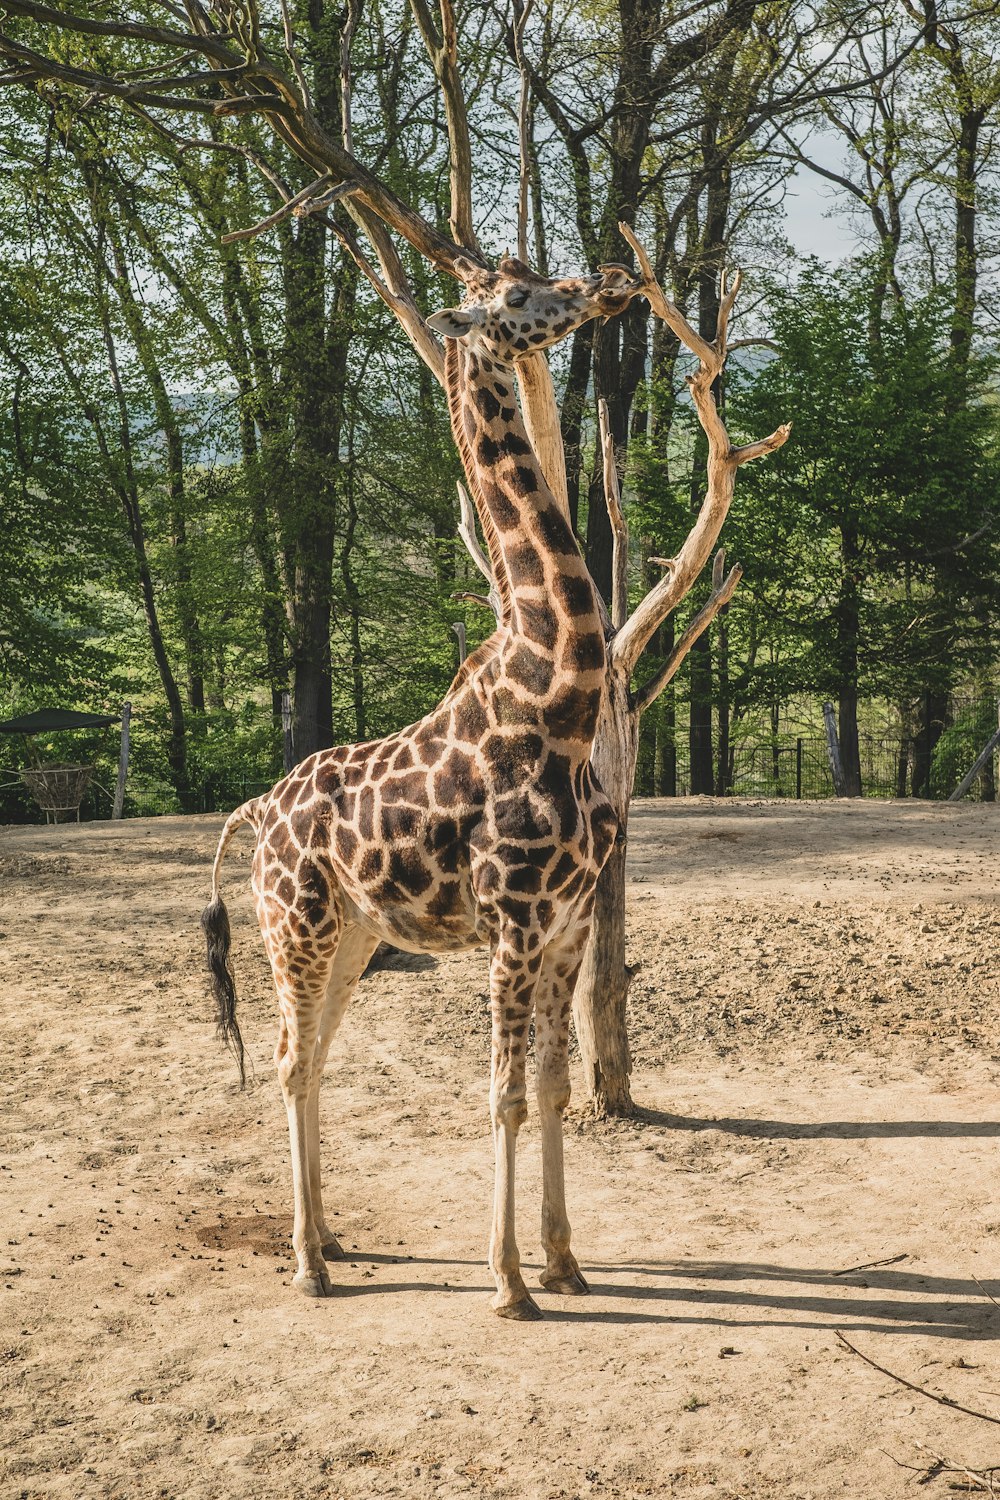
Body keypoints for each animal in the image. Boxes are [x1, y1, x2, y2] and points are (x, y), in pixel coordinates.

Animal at [203, 258, 641, 1326]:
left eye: (533, 275)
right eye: (516, 298)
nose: (609, 282)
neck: (557, 696)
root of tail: (260, 812)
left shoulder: (568, 922)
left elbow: (555, 1086)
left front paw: (565, 1261)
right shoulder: (514, 922)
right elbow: (503, 1096)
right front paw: (509, 1282)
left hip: (356, 937)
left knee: (315, 1058)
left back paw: (326, 1238)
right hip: (294, 928)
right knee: (289, 1059)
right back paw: (306, 1263)